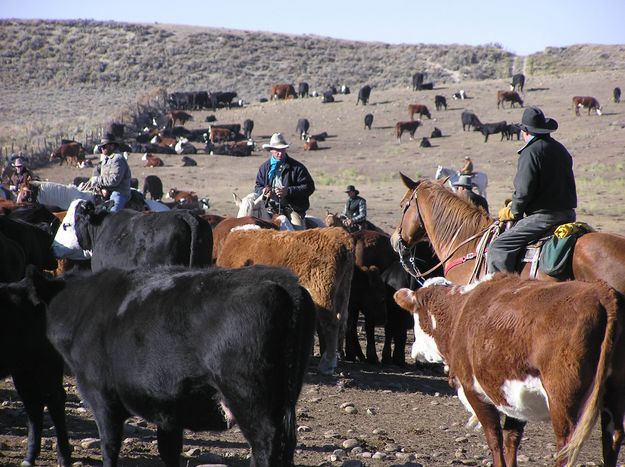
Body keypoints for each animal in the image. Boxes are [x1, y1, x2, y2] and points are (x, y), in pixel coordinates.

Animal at [0, 274, 72, 467]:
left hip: (46, 363)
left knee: (53, 400)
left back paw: (64, 457)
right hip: (23, 369)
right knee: (34, 404)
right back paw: (29, 457)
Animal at [20, 266, 316, 466]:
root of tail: (284, 282)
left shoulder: (101, 397)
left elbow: (109, 446)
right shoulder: (168, 409)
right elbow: (169, 451)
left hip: (250, 400)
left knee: (265, 445)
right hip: (282, 401)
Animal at [218, 228, 356, 376]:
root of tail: (340, 235)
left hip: (323, 290)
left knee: (330, 324)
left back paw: (328, 363)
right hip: (343, 291)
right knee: (341, 321)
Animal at [394, 274, 624, 467]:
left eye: (415, 317)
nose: (415, 351)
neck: (460, 312)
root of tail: (602, 292)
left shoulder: (473, 388)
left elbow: (494, 438)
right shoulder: (515, 396)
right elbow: (511, 438)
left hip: (562, 397)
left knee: (567, 445)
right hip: (613, 393)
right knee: (612, 436)